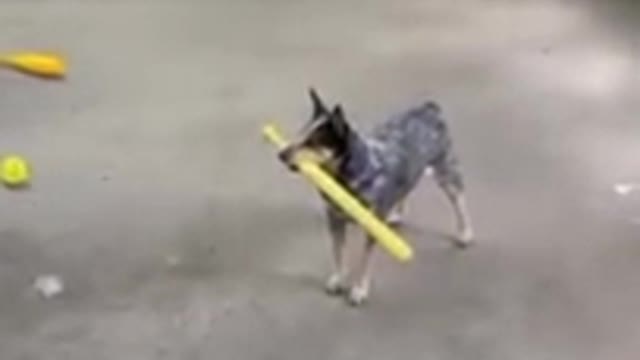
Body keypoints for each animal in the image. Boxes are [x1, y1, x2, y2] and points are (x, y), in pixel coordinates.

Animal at [278, 88, 472, 306]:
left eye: (312, 142)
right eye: (300, 134)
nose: (281, 153)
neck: (346, 177)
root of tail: (428, 108)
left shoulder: (370, 230)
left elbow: (364, 261)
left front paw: (359, 290)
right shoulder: (335, 220)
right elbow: (338, 253)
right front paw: (338, 279)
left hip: (445, 169)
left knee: (459, 199)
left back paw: (465, 233)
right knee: (405, 188)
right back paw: (395, 214)